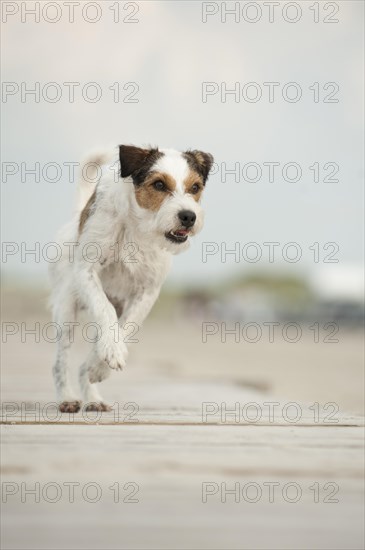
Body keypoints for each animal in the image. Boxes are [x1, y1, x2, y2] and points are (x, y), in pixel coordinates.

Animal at [48, 147, 213, 414]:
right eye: (159, 184)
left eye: (195, 187)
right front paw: (109, 355)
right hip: (66, 312)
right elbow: (105, 309)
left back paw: (93, 394)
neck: (138, 226)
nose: (188, 216)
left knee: (89, 357)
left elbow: (127, 326)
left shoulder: (148, 291)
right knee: (60, 362)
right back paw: (67, 397)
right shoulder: (86, 271)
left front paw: (101, 366)